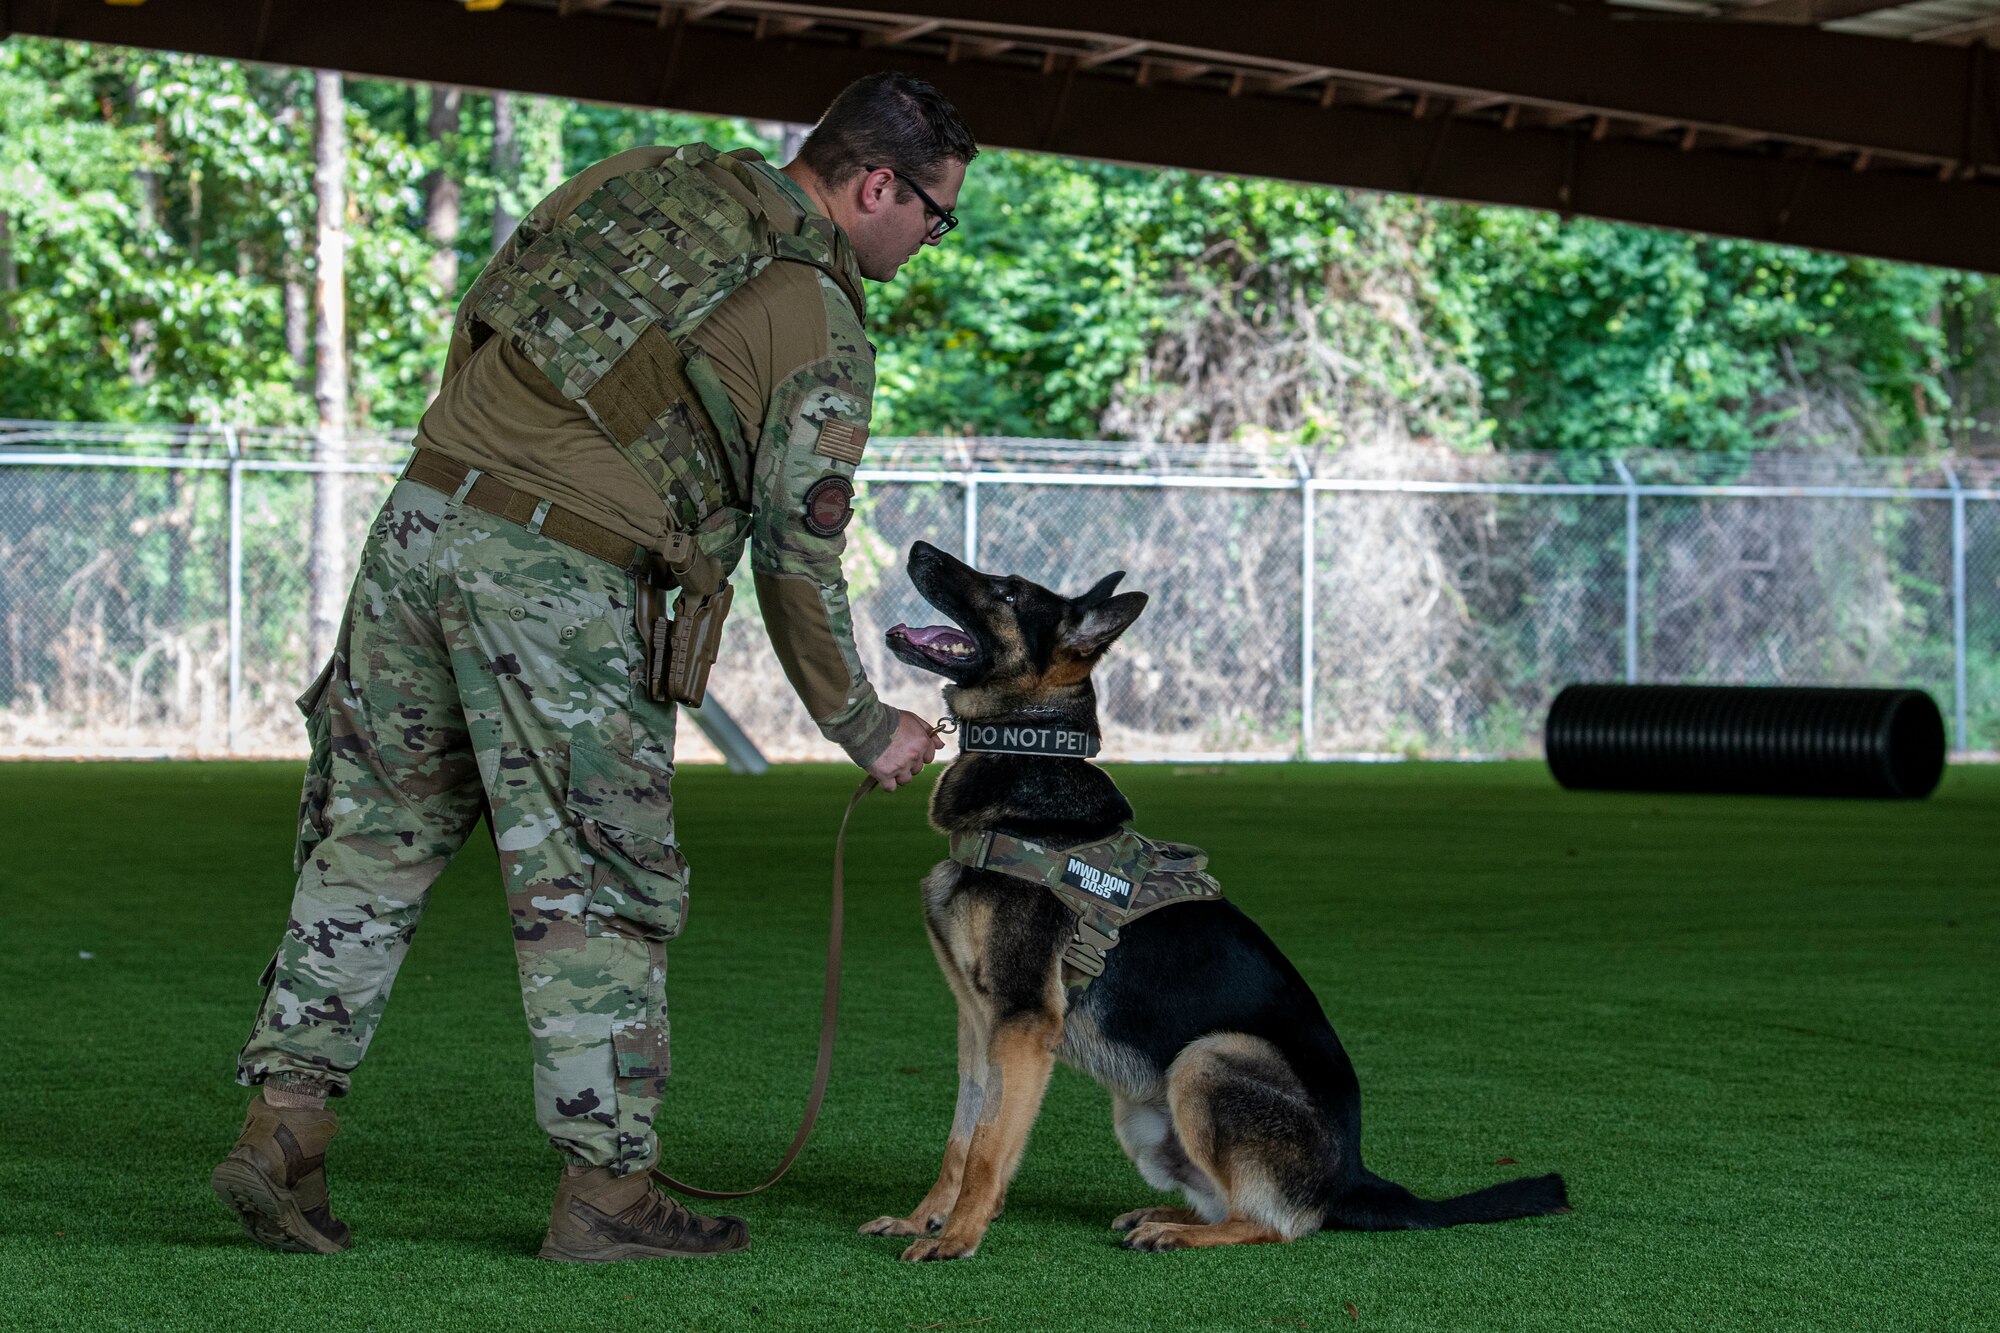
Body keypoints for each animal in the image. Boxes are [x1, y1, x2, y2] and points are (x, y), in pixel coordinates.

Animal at [868, 540, 1568, 1256]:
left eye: (1007, 591)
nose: (920, 548)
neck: (1029, 763)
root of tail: (1352, 1174)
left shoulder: (1022, 1024)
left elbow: (986, 1147)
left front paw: (958, 1236)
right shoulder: (978, 1024)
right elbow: (962, 1139)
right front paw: (928, 1218)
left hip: (1207, 1057)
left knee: (1277, 1223)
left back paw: (1178, 1234)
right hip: (1145, 1113)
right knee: (1231, 1201)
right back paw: (1161, 1216)